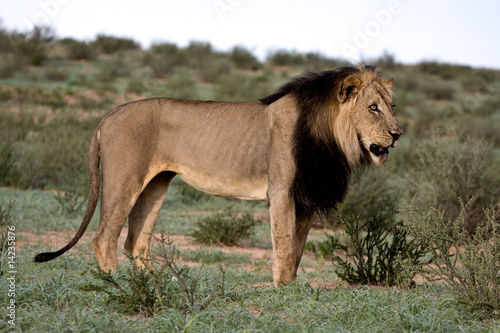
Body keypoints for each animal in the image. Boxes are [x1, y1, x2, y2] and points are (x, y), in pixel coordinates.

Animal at [35, 65, 402, 286]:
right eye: (373, 108)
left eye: (392, 106)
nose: (397, 135)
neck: (331, 138)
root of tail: (109, 114)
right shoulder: (282, 190)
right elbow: (284, 244)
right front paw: (283, 289)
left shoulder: (306, 198)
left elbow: (297, 248)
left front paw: (294, 286)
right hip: (125, 180)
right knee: (104, 238)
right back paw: (120, 284)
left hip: (155, 185)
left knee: (135, 241)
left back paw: (158, 283)